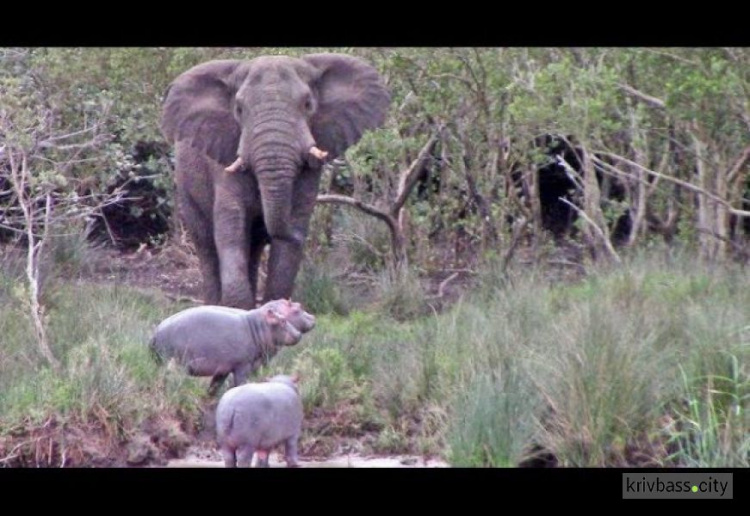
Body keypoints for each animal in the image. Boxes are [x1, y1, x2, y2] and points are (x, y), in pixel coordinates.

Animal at [161, 54, 390, 308]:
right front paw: (237, 308)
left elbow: (291, 226)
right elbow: (230, 224)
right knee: (207, 244)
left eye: (308, 105)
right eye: (239, 109)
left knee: (254, 246)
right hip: (185, 187)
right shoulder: (224, 154)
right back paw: (213, 304)